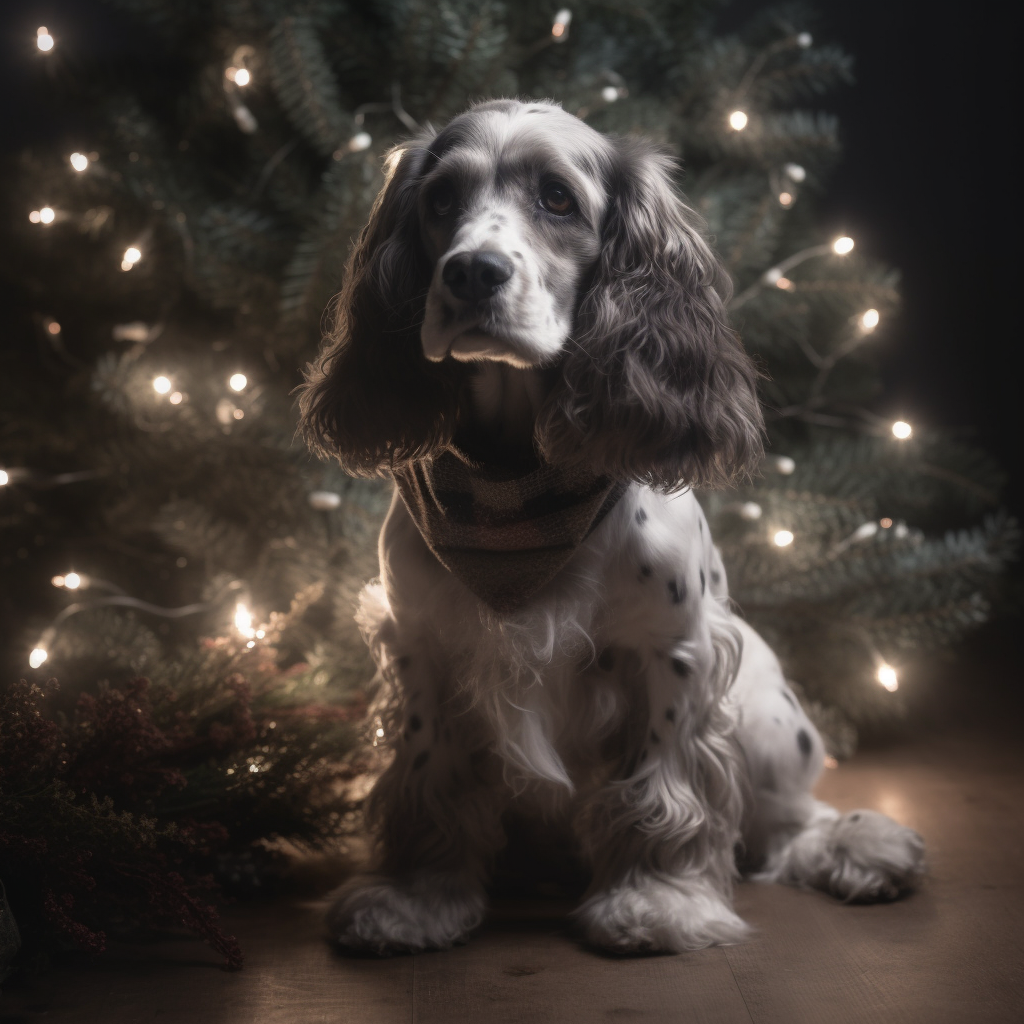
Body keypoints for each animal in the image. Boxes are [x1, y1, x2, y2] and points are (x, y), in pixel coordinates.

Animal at [299, 97, 929, 950]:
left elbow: (661, 788)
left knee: (790, 825)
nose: (470, 272)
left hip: (770, 718)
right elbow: (429, 776)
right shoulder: (421, 645)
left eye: (558, 199)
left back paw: (862, 850)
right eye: (440, 199)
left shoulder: (669, 649)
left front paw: (657, 900)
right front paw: (416, 896)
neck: (514, 483)